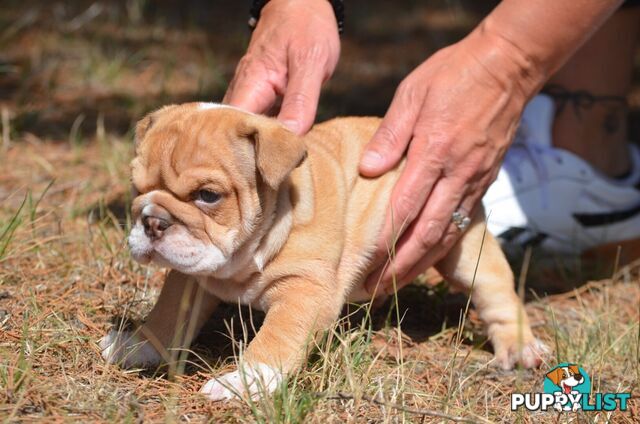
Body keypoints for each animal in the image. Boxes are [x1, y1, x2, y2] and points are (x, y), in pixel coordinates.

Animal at [100, 102, 544, 400]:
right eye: (137, 187)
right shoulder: (190, 277)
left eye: (208, 195)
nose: (153, 221)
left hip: (465, 250)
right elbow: (168, 314)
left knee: (497, 293)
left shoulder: (305, 292)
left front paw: (243, 381)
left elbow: (276, 338)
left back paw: (520, 347)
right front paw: (138, 345)